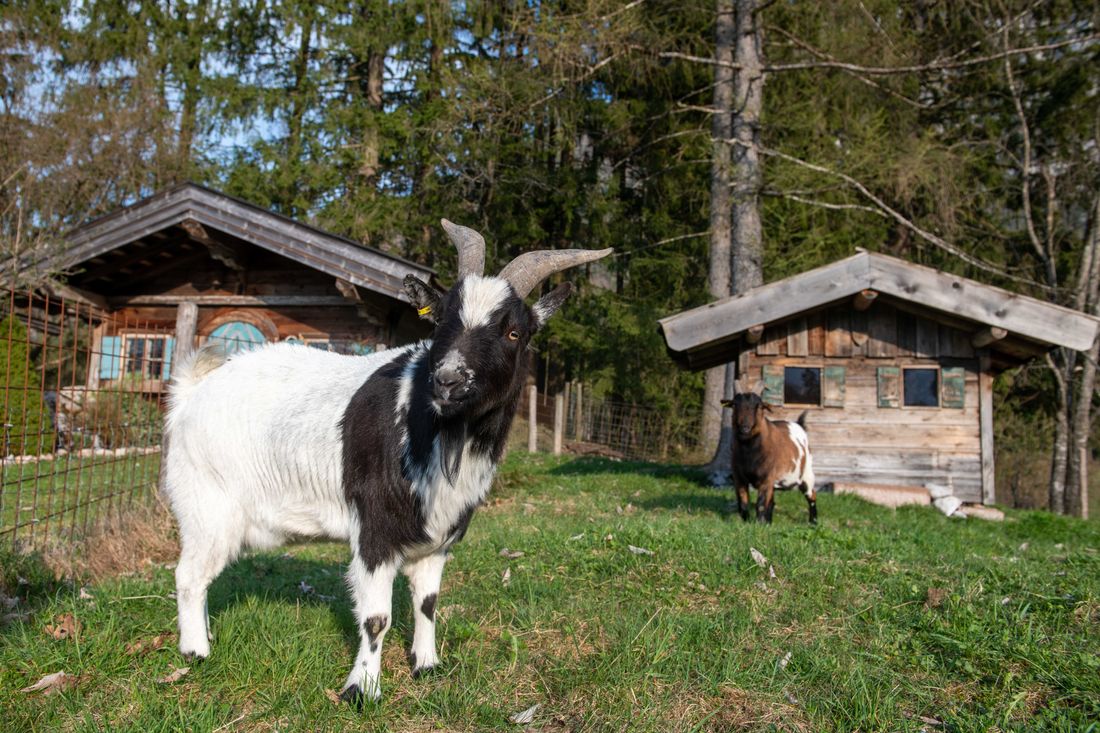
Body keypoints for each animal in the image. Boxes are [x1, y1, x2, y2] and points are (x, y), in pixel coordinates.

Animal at [162, 220, 611, 704]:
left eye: (514, 332)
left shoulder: (439, 539)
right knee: (189, 575)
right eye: (441, 321)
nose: (447, 380)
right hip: (206, 505)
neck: (437, 432)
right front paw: (362, 689)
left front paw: (427, 665)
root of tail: (192, 392)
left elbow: (427, 603)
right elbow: (376, 617)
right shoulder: (374, 531)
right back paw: (195, 652)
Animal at [722, 392, 816, 524]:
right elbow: (743, 504)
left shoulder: (765, 479)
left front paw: (759, 524)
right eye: (734, 405)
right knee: (771, 502)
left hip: (806, 473)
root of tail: (799, 424)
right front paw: (748, 523)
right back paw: (769, 523)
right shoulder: (739, 478)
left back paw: (814, 522)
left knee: (811, 495)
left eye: (760, 407)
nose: (745, 428)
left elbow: (761, 504)